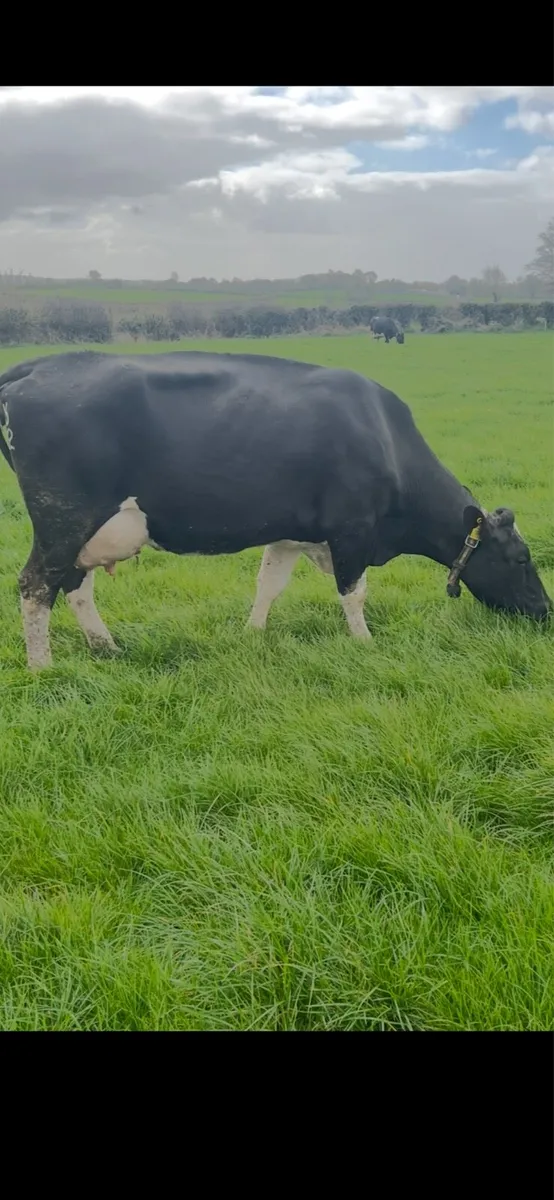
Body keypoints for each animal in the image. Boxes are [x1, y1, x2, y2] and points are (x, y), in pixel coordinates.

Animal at [0, 350, 550, 671]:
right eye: (522, 559)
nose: (546, 611)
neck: (384, 438)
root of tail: (39, 366)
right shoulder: (353, 530)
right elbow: (353, 593)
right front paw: (365, 643)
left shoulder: (291, 534)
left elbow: (269, 584)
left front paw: (253, 634)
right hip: (63, 518)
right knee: (36, 585)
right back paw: (42, 666)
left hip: (85, 531)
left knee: (75, 585)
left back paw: (106, 648)